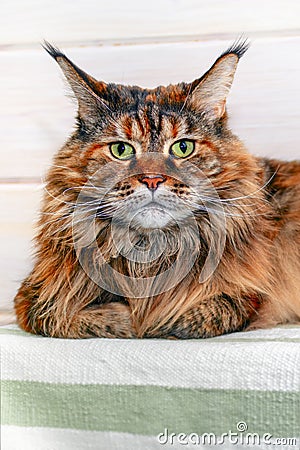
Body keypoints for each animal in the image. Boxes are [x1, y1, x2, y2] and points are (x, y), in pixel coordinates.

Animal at [14, 41, 300, 338]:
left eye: (183, 147)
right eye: (121, 150)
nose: (152, 179)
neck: (150, 250)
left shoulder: (251, 297)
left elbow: (183, 317)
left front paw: (145, 321)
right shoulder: (32, 297)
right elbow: (57, 317)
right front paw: (125, 318)